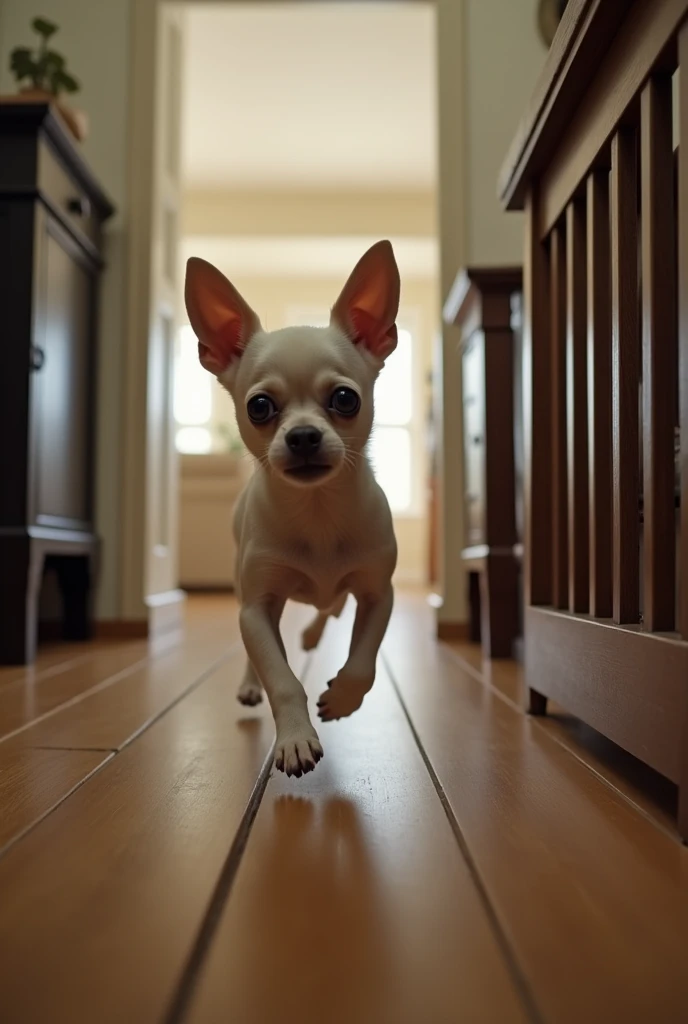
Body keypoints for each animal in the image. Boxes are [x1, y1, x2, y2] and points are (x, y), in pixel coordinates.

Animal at [184, 241, 397, 774]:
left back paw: (312, 636)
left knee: (331, 607)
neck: (317, 511)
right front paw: (296, 738)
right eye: (259, 406)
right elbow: (279, 676)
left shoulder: (377, 594)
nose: (302, 435)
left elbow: (363, 662)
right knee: (262, 649)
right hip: (247, 591)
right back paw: (250, 683)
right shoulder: (257, 608)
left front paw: (341, 698)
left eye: (345, 399)